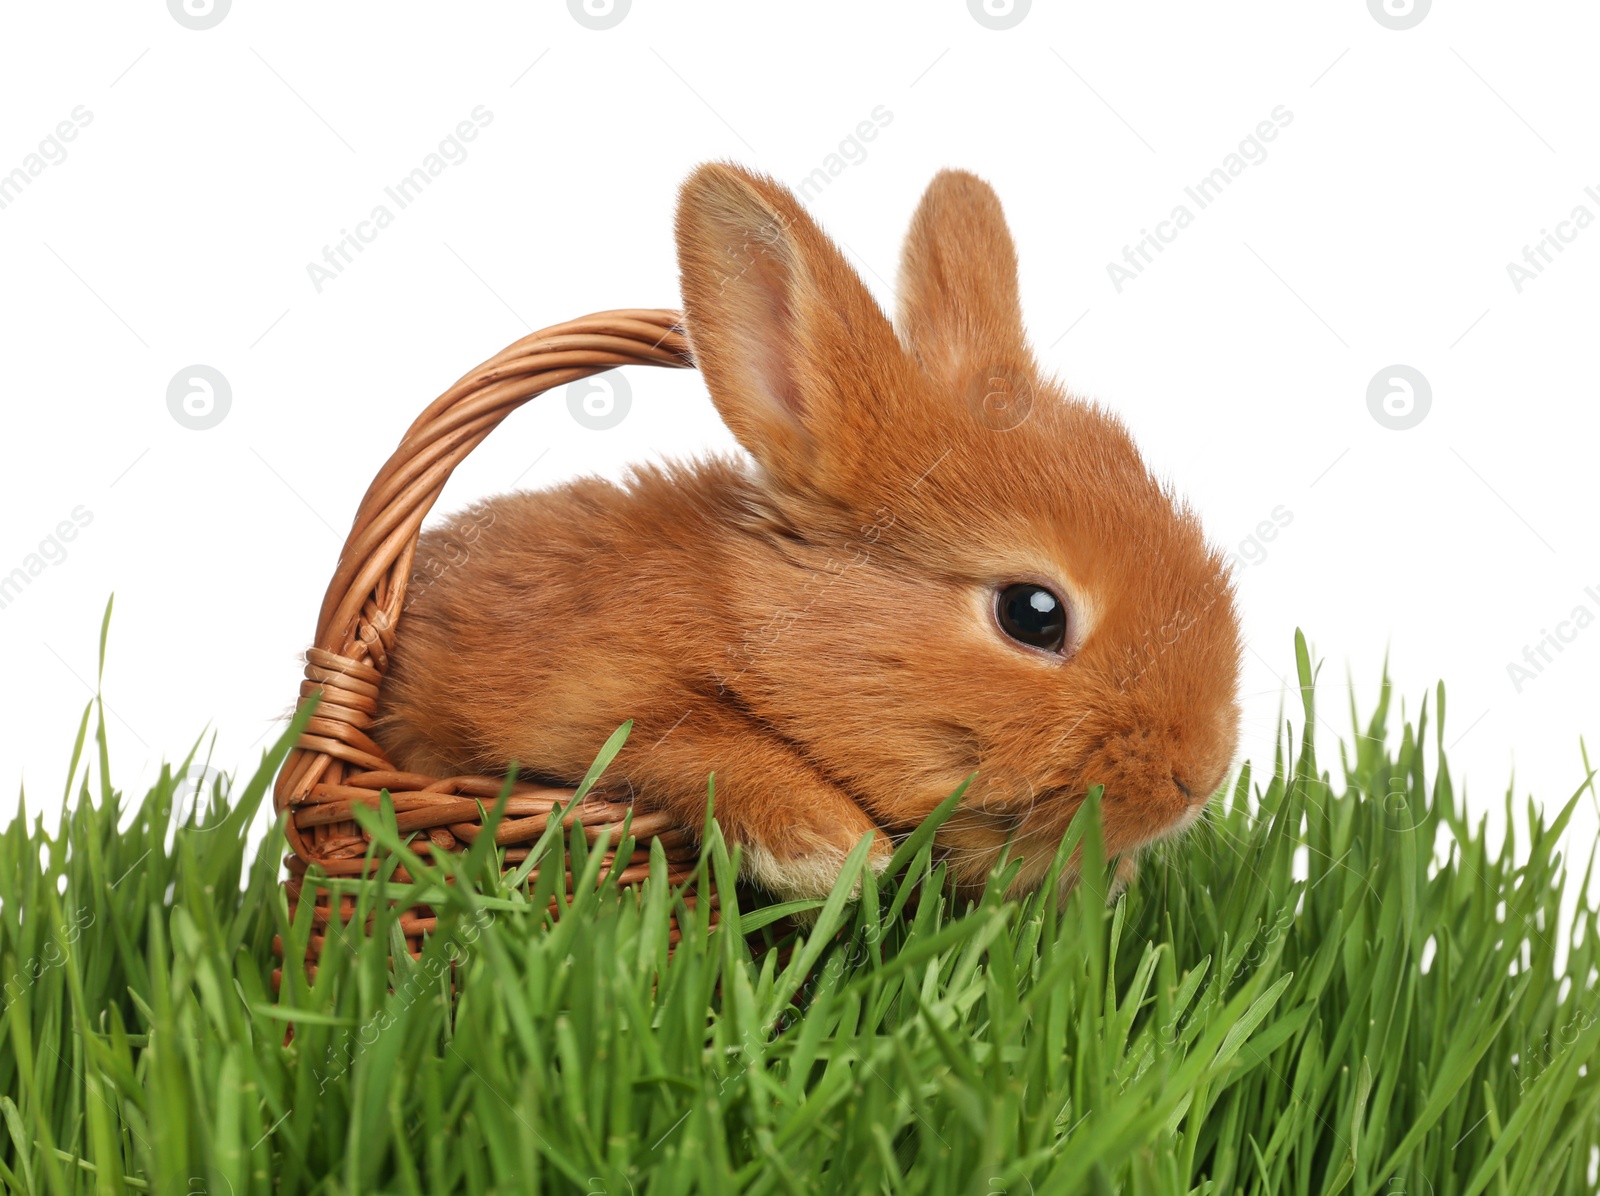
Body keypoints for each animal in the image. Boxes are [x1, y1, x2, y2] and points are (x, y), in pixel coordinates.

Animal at [368, 163, 1241, 901]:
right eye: (1032, 614)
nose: (1196, 780)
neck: (742, 614)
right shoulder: (582, 697)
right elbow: (698, 739)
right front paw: (834, 853)